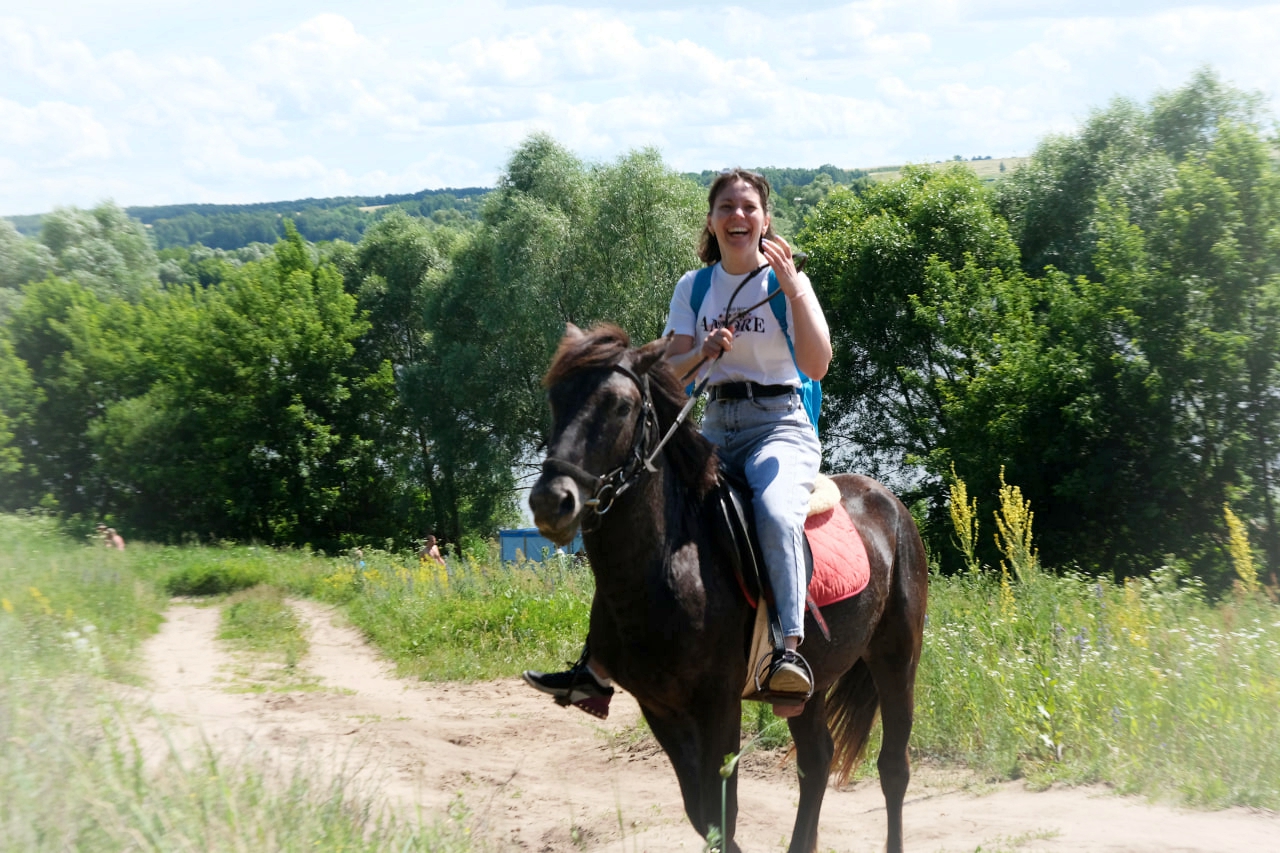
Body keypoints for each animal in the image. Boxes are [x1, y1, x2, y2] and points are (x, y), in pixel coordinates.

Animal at [529, 320, 931, 850]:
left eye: (620, 405)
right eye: (556, 398)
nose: (551, 501)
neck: (668, 563)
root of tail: (891, 503)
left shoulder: (717, 702)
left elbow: (724, 811)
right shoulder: (658, 706)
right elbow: (705, 817)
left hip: (896, 655)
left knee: (893, 768)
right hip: (812, 680)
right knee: (817, 761)